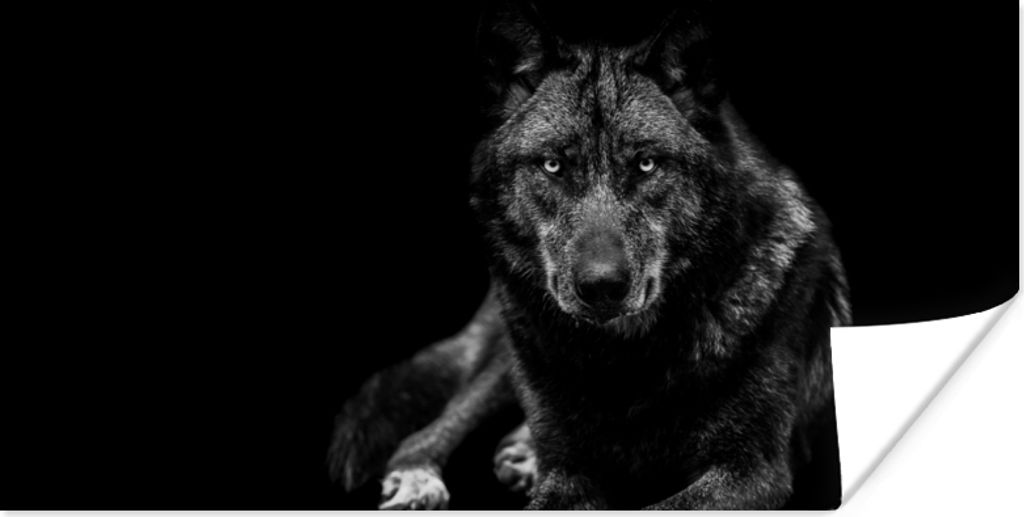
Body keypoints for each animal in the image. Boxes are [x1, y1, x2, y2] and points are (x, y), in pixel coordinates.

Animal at [328, 0, 851, 510]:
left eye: (646, 163)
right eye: (552, 165)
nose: (601, 286)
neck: (622, 362)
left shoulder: (750, 470)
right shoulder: (567, 471)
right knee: (434, 424)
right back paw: (419, 474)